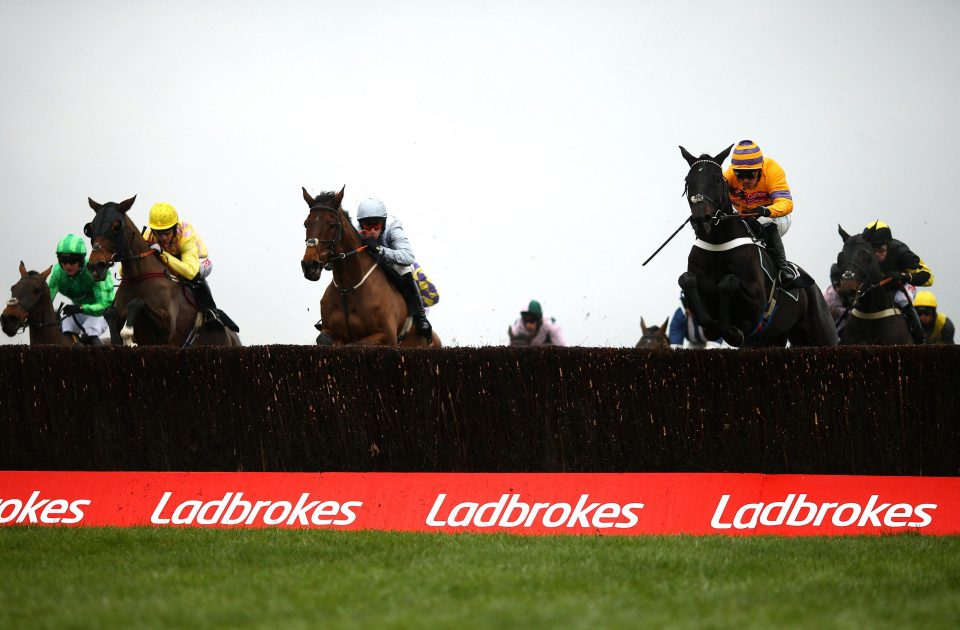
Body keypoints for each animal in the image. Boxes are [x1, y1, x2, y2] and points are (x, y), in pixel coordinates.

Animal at [85, 196, 242, 348]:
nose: (95, 266)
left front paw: (129, 338)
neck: (137, 277)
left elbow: (137, 302)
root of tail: (233, 337)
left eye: (116, 226)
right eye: (90, 228)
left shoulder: (166, 330)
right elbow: (109, 314)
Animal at [300, 188, 442, 348]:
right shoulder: (328, 330)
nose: (309, 265)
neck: (347, 289)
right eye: (306, 224)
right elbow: (324, 339)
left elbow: (354, 344)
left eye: (332, 225)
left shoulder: (387, 337)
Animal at [676, 146, 840, 348]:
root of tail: (816, 290)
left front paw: (731, 329)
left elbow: (729, 282)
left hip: (823, 333)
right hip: (774, 338)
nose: (701, 219)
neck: (718, 246)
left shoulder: (756, 302)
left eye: (717, 179)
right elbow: (687, 280)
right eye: (687, 181)